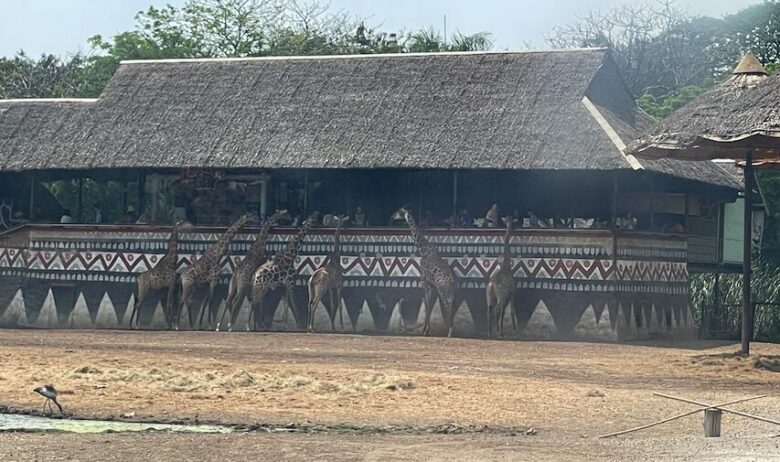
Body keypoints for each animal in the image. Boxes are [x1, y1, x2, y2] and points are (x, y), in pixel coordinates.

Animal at [390, 208, 458, 338]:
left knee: (447, 305)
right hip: (450, 290)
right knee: (452, 304)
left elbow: (427, 305)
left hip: (443, 289)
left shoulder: (425, 281)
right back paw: (450, 330)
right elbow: (429, 306)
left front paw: (425, 331)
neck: (423, 249)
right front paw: (426, 330)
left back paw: (450, 332)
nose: (392, 216)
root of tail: (451, 278)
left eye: (400, 212)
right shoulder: (432, 285)